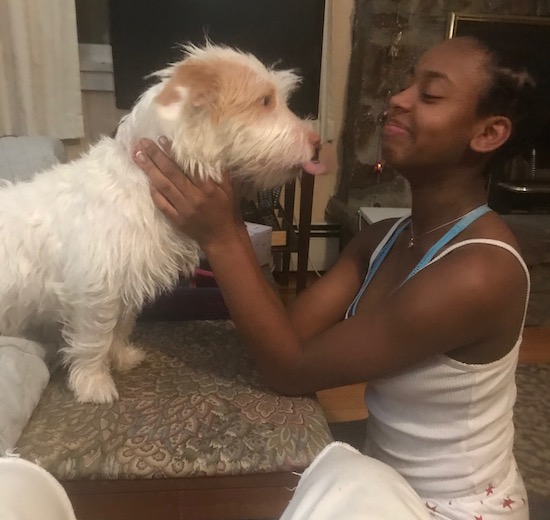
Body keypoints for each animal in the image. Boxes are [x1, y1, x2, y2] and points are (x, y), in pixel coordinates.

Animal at [0, 43, 326, 402]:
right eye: (265, 101)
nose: (318, 143)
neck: (141, 182)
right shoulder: (94, 291)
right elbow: (93, 340)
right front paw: (93, 383)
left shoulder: (124, 285)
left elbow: (119, 328)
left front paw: (121, 357)